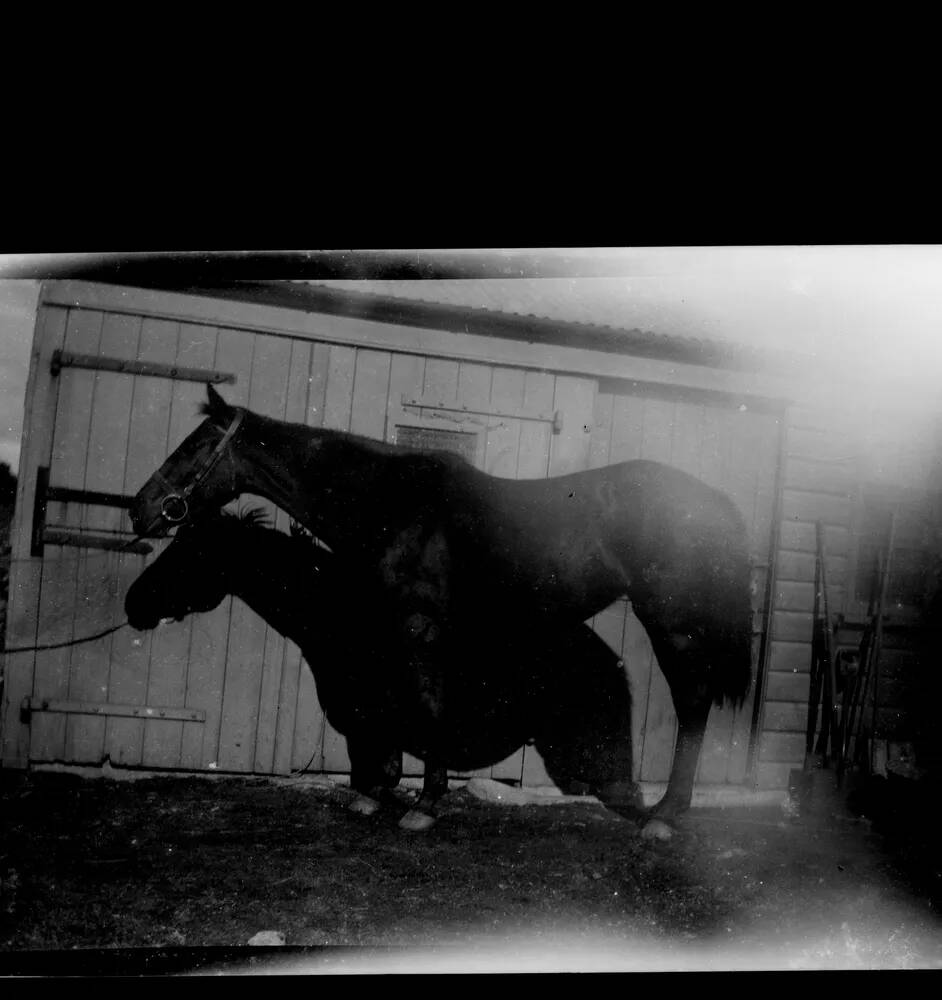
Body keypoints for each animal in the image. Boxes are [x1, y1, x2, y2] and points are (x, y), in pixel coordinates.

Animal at [125, 508, 636, 828]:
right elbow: (383, 769)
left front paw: (419, 811)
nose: (134, 603)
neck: (353, 618)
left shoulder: (395, 717)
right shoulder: (378, 722)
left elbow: (407, 763)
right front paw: (373, 802)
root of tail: (608, 658)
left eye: (193, 553)